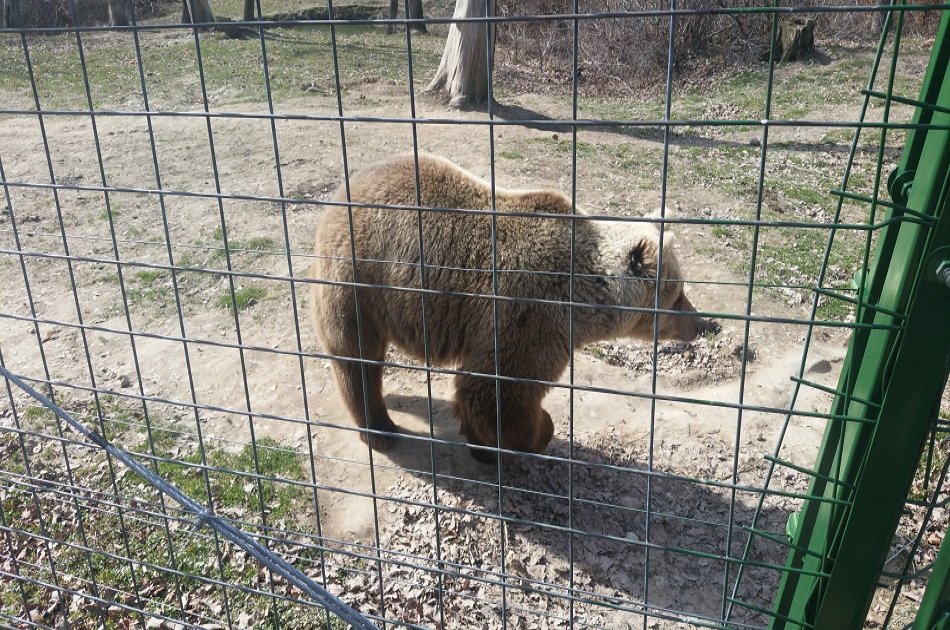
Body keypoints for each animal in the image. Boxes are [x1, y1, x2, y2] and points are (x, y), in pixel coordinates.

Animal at [310, 152, 707, 463]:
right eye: (678, 296)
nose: (703, 324)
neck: (584, 298)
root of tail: (342, 192)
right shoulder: (531, 314)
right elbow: (497, 392)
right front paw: (531, 434)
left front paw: (481, 443)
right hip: (358, 278)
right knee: (356, 358)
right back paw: (380, 429)